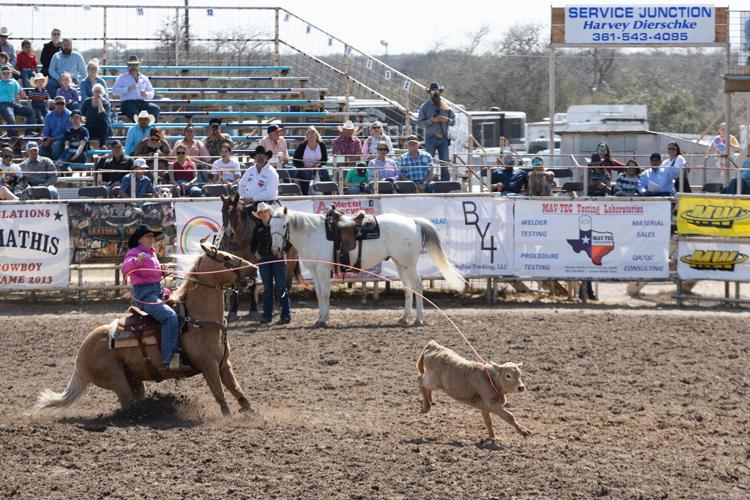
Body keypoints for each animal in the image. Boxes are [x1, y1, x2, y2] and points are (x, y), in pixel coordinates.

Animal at [39, 244, 262, 416]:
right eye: (225, 257)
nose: (254, 270)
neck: (198, 319)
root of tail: (81, 353)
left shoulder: (224, 364)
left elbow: (236, 388)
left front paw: (252, 412)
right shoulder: (209, 365)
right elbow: (219, 393)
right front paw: (227, 416)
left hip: (133, 380)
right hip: (116, 380)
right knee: (128, 404)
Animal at [270, 207, 464, 328]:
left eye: (284, 225)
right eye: (270, 225)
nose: (276, 249)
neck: (313, 233)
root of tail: (413, 222)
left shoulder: (324, 270)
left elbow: (325, 294)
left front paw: (323, 320)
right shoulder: (315, 270)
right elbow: (319, 294)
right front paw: (320, 318)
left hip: (408, 264)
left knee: (417, 286)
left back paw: (418, 319)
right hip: (400, 264)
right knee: (407, 288)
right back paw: (403, 317)